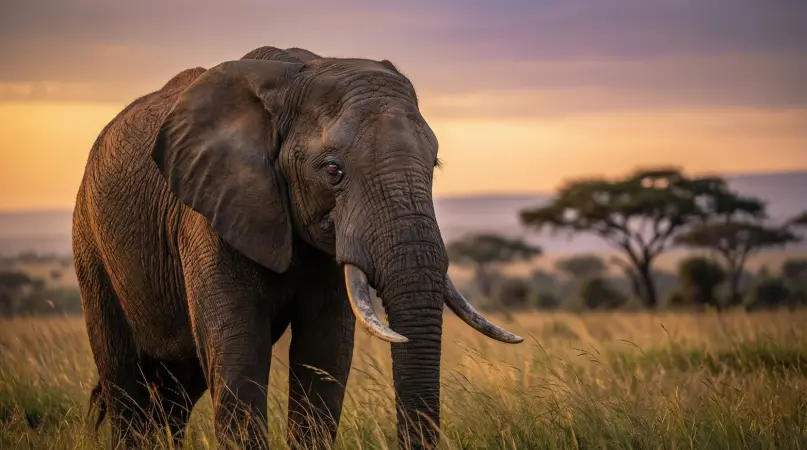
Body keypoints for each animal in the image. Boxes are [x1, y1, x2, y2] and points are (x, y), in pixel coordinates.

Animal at [72, 45, 523, 450]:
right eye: (333, 170)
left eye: (434, 165)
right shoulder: (208, 215)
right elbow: (239, 354)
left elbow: (324, 355)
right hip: (90, 244)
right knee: (125, 382)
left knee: (176, 391)